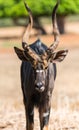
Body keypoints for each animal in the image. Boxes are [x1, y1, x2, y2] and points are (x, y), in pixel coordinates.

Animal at [14, 0, 68, 130]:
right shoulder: (29, 101)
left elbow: (44, 125)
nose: (39, 85)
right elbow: (30, 124)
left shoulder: (47, 102)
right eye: (33, 66)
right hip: (25, 97)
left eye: (46, 66)